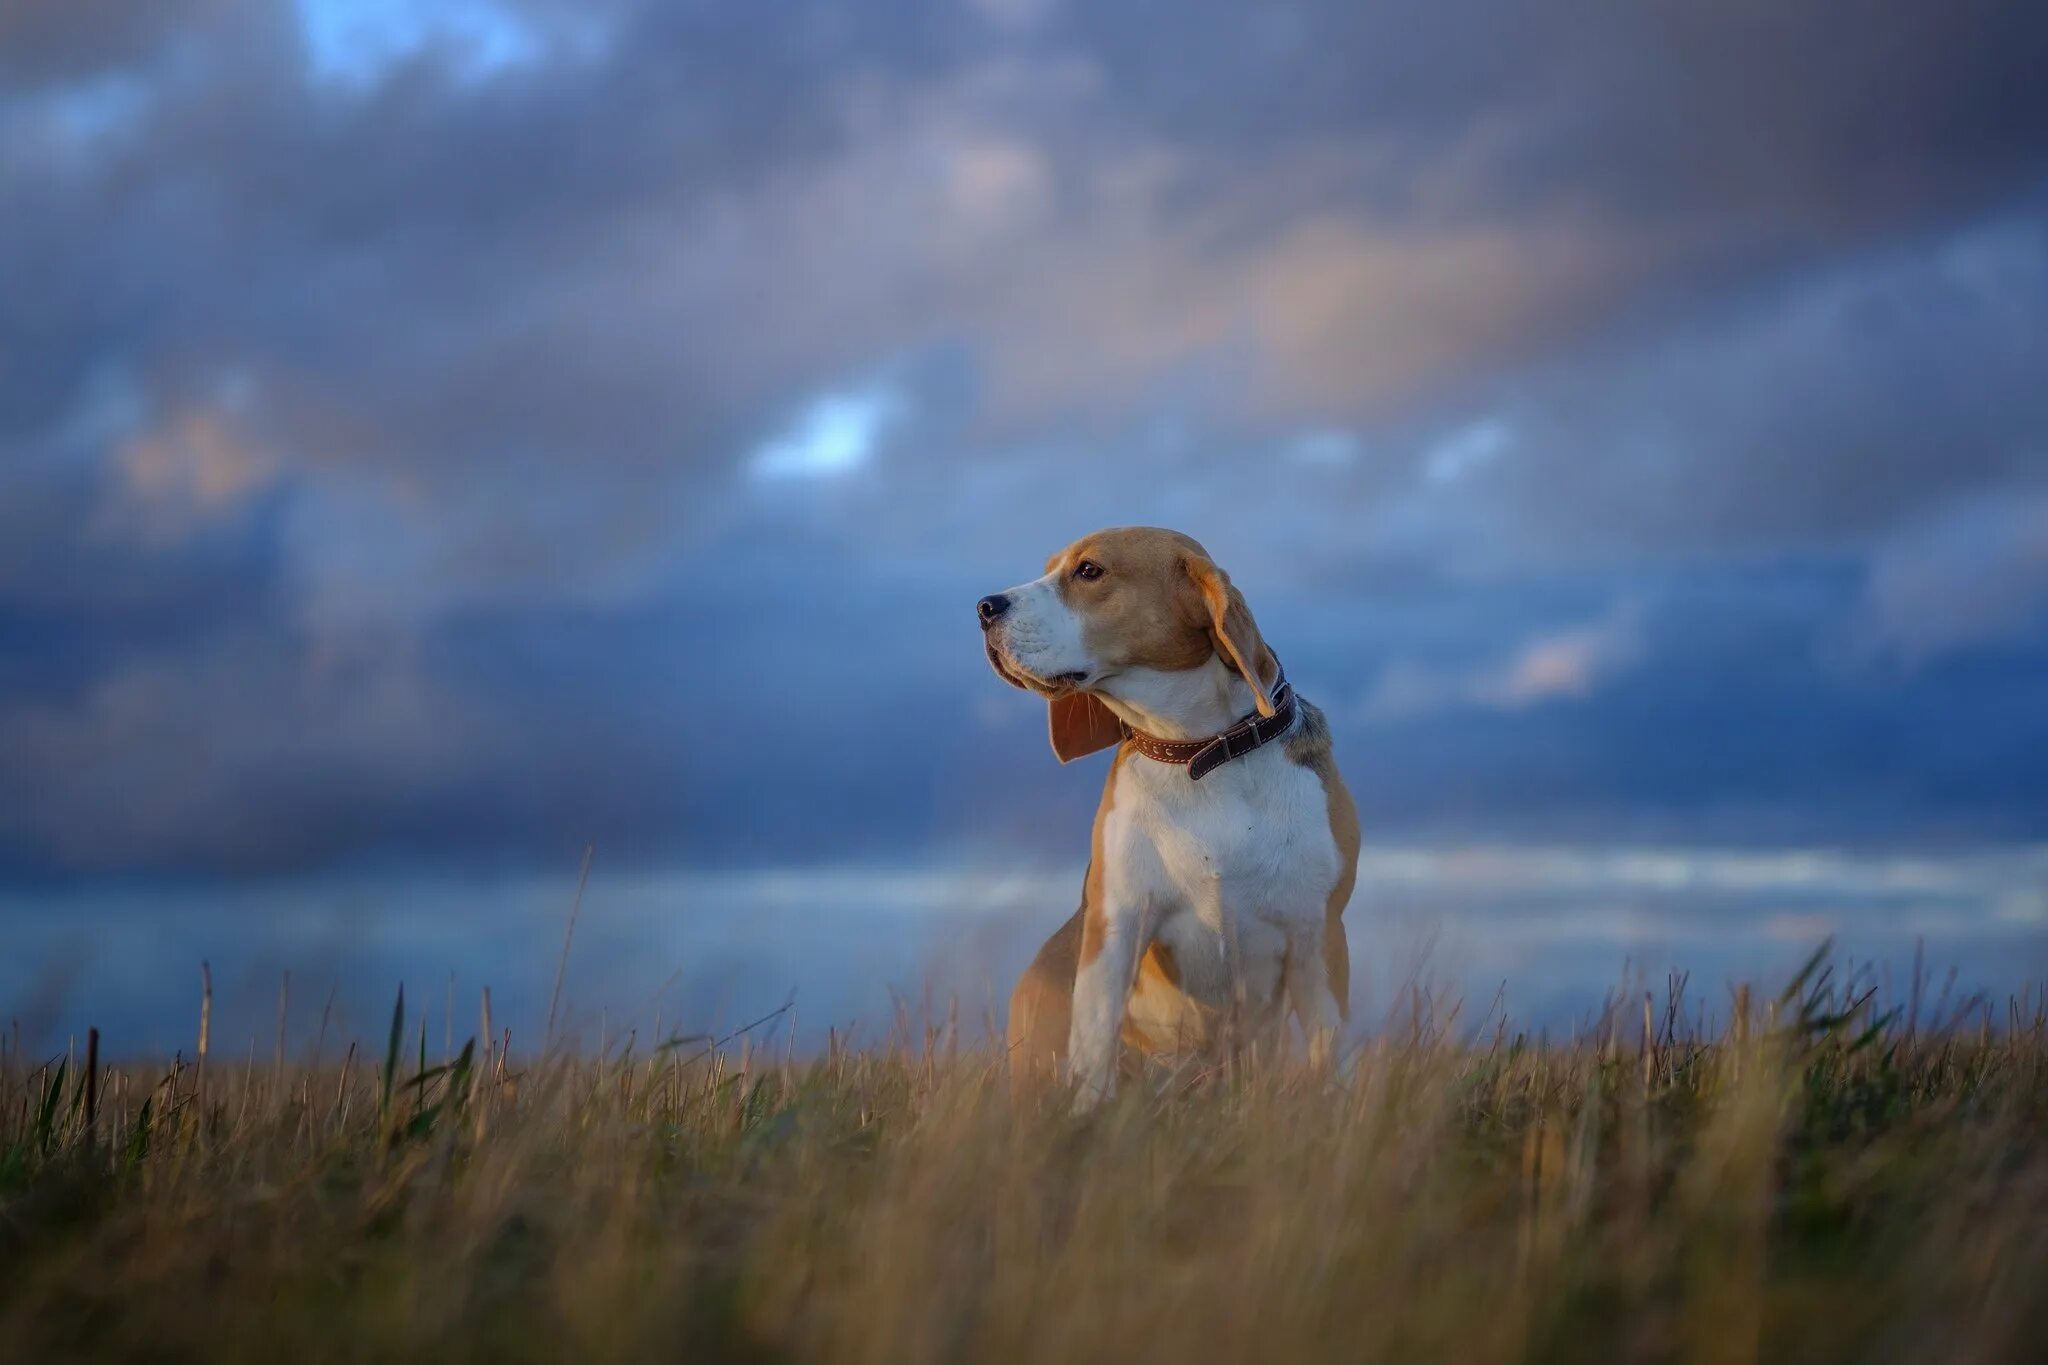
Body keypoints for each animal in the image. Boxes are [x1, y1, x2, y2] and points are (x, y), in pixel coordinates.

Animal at [978, 527, 1359, 1105]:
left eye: (1088, 571)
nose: (984, 607)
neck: (1198, 754)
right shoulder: (1116, 925)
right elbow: (1094, 1047)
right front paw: (1087, 1115)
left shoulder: (1318, 937)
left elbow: (1328, 1055)